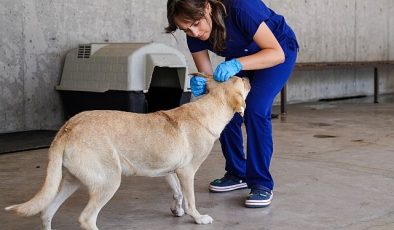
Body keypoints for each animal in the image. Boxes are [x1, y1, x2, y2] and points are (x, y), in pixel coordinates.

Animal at [5, 76, 249, 230]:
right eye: (240, 79)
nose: (248, 77)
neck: (208, 110)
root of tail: (68, 127)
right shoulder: (187, 172)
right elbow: (190, 200)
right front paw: (197, 218)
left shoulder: (169, 171)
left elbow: (178, 193)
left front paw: (177, 209)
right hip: (109, 181)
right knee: (86, 219)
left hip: (70, 182)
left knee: (46, 212)